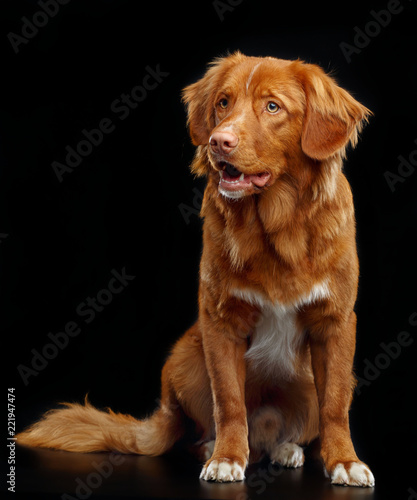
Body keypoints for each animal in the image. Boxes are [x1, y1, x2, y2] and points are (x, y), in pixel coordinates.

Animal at [16, 52, 374, 486]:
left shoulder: (335, 322)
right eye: (223, 102)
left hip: (303, 378)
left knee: (285, 429)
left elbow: (335, 405)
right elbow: (229, 401)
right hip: (185, 357)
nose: (220, 140)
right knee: (202, 430)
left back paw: (285, 448)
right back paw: (215, 447)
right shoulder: (219, 321)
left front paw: (344, 461)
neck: (276, 228)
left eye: (273, 106)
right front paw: (226, 457)